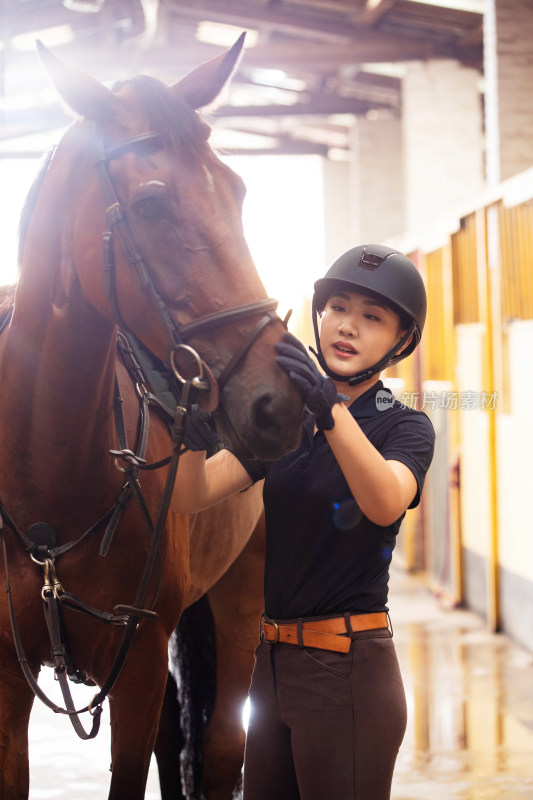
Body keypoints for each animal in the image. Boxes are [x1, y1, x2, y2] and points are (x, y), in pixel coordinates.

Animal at [0, 37, 302, 800]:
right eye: (151, 205)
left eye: (238, 191)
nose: (279, 402)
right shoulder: (5, 674)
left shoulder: (136, 665)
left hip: (239, 605)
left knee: (219, 750)